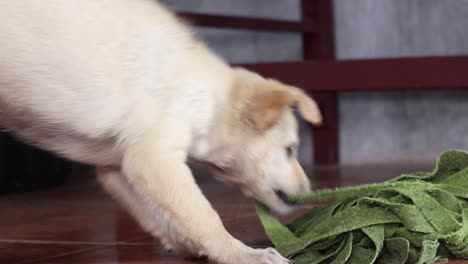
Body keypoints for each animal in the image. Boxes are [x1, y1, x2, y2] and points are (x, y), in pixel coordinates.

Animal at [0, 1, 322, 262]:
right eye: (290, 149)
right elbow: (203, 216)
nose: (310, 193)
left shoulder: (119, 167)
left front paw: (188, 245)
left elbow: (157, 215)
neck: (209, 98)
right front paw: (241, 253)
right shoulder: (153, 159)